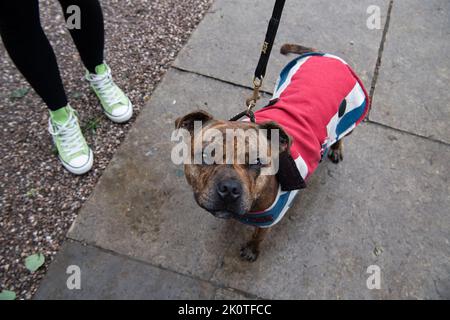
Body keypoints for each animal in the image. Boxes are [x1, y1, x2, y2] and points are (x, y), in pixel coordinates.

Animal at [175, 43, 370, 262]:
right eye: (206, 155)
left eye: (257, 161)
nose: (230, 189)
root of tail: (327, 56)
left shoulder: (269, 220)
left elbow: (258, 236)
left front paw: (252, 249)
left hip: (351, 115)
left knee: (342, 135)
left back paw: (336, 148)